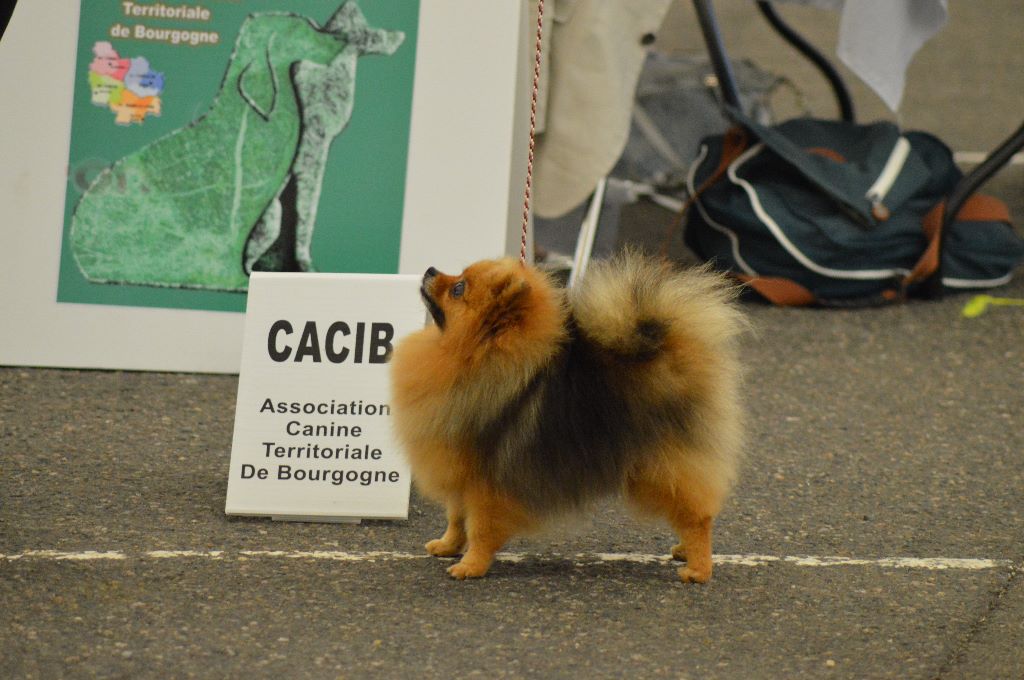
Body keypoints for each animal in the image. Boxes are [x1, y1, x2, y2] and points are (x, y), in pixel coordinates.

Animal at [389, 251, 745, 581]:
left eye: (458, 288)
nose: (430, 270)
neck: (473, 357)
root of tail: (670, 347)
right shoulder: (459, 469)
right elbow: (456, 517)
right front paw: (448, 546)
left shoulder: (488, 478)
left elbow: (480, 526)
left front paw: (471, 566)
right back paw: (684, 550)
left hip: (660, 465)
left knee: (697, 516)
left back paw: (698, 568)